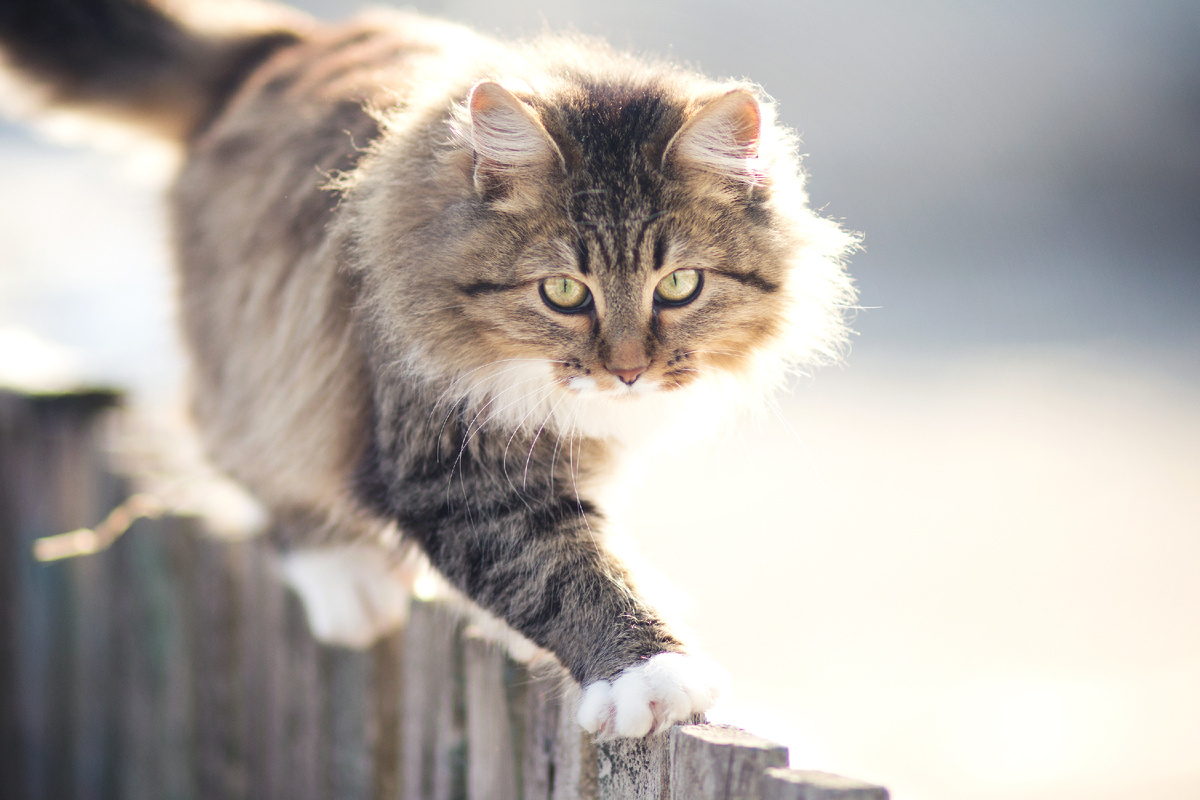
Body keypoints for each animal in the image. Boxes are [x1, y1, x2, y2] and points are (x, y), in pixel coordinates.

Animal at [4, 0, 859, 738]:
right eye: (564, 292)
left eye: (679, 285)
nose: (627, 372)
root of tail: (284, 42)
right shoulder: (448, 461)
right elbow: (560, 568)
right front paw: (650, 673)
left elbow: (571, 547)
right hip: (261, 366)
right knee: (248, 460)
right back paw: (344, 579)